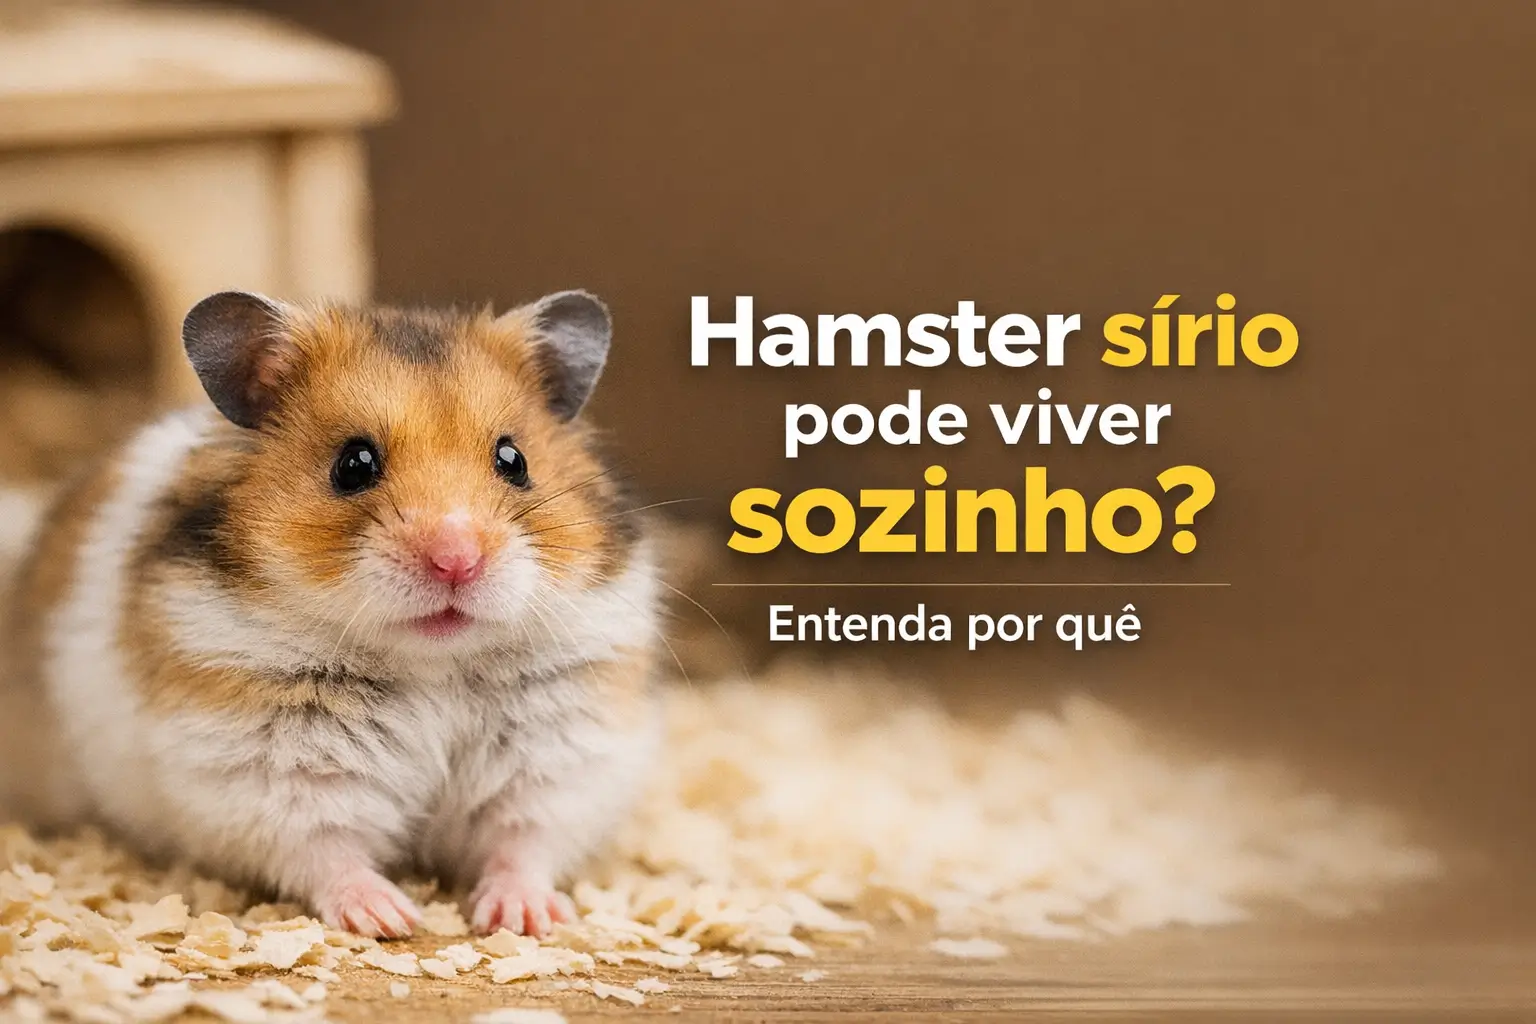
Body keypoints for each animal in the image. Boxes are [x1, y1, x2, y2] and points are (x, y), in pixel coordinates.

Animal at [0, 289, 662, 938]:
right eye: (354, 464)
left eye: (514, 460)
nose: (457, 560)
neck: (433, 663)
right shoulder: (267, 769)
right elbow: (325, 848)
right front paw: (390, 917)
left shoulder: (558, 750)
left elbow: (523, 839)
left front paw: (525, 918)